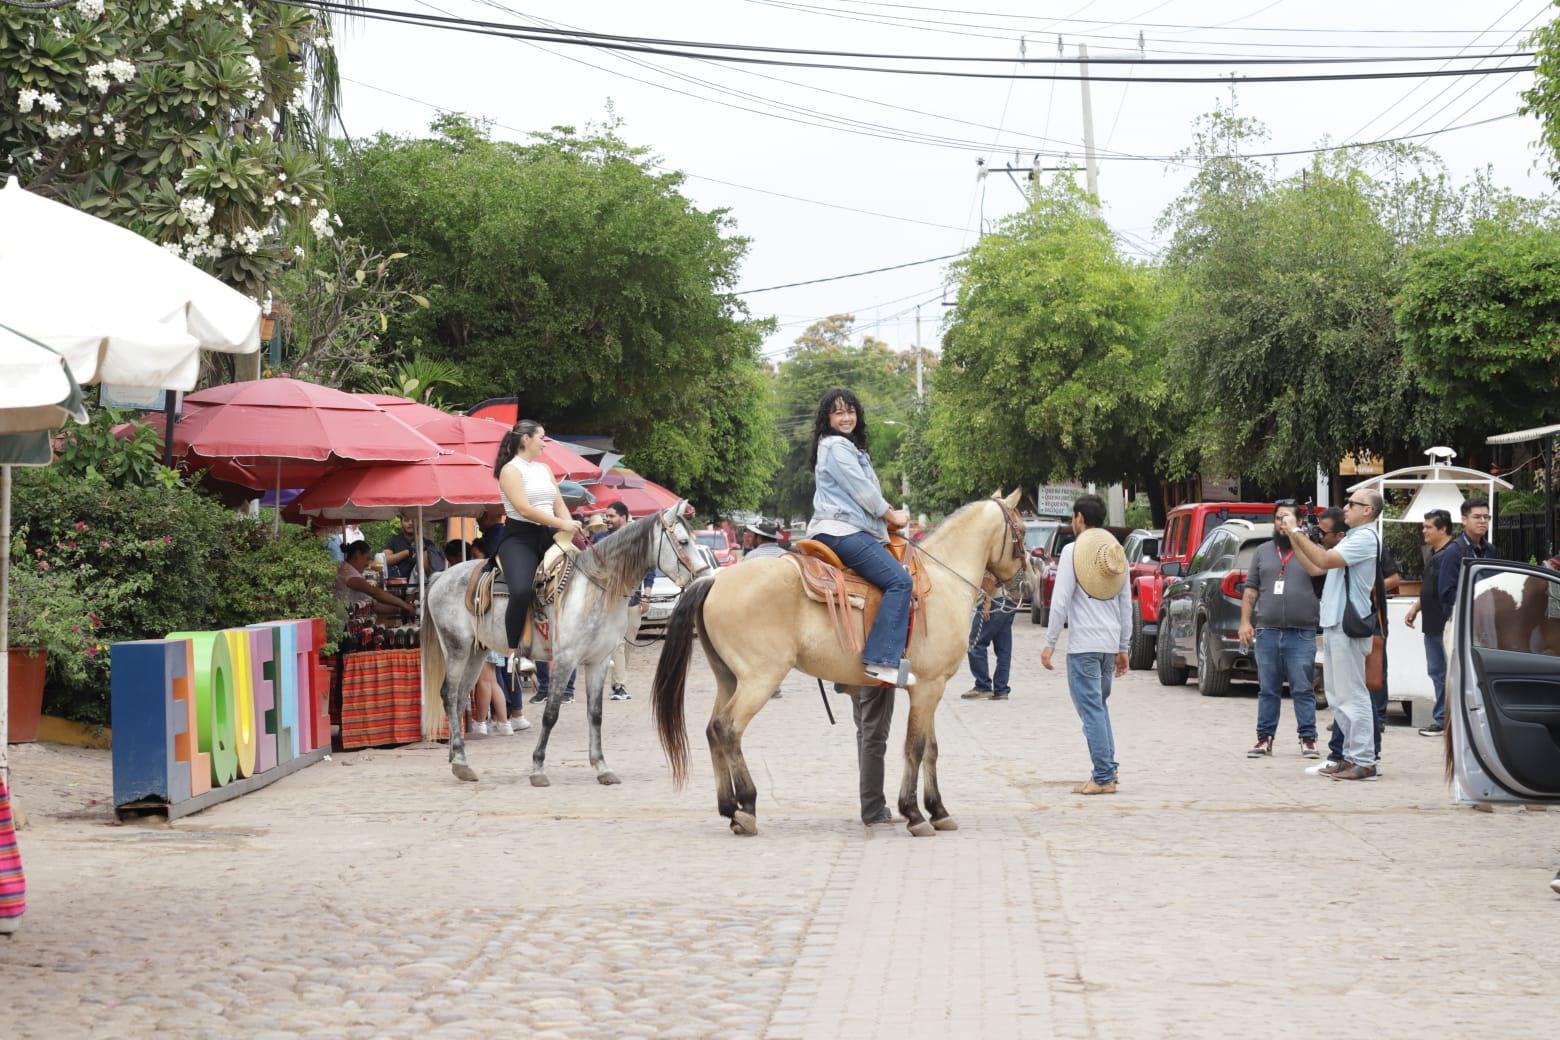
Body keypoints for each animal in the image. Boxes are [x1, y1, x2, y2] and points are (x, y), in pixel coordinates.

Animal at [418, 498, 705, 785]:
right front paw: (538, 768)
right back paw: (460, 761)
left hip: (476, 652)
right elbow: (551, 713)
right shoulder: (566, 660)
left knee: (460, 697)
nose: (704, 576)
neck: (595, 588)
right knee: (449, 694)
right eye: (683, 541)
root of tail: (440, 577)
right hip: (456, 648)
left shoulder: (599, 661)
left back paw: (458, 758)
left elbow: (596, 714)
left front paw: (602, 767)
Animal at [652, 492, 1029, 841]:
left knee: (712, 729)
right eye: (1022, 531)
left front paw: (938, 810)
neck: (942, 582)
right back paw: (747, 806)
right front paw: (914, 814)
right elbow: (915, 747)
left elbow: (931, 749)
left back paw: (729, 807)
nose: (1026, 583)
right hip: (760, 679)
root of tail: (715, 580)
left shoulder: (929, 689)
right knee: (728, 728)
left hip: (729, 678)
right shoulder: (928, 687)